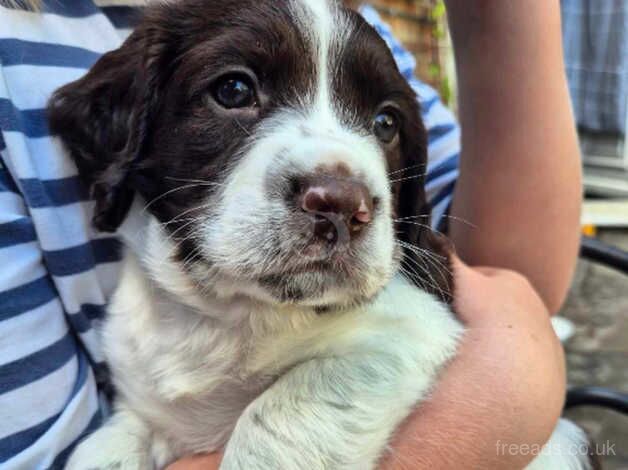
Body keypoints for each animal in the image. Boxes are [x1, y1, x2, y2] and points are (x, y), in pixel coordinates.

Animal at [49, 0, 592, 470]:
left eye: (386, 122)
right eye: (234, 91)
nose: (342, 206)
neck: (227, 315)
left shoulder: (413, 331)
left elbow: (282, 410)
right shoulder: (143, 402)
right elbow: (104, 445)